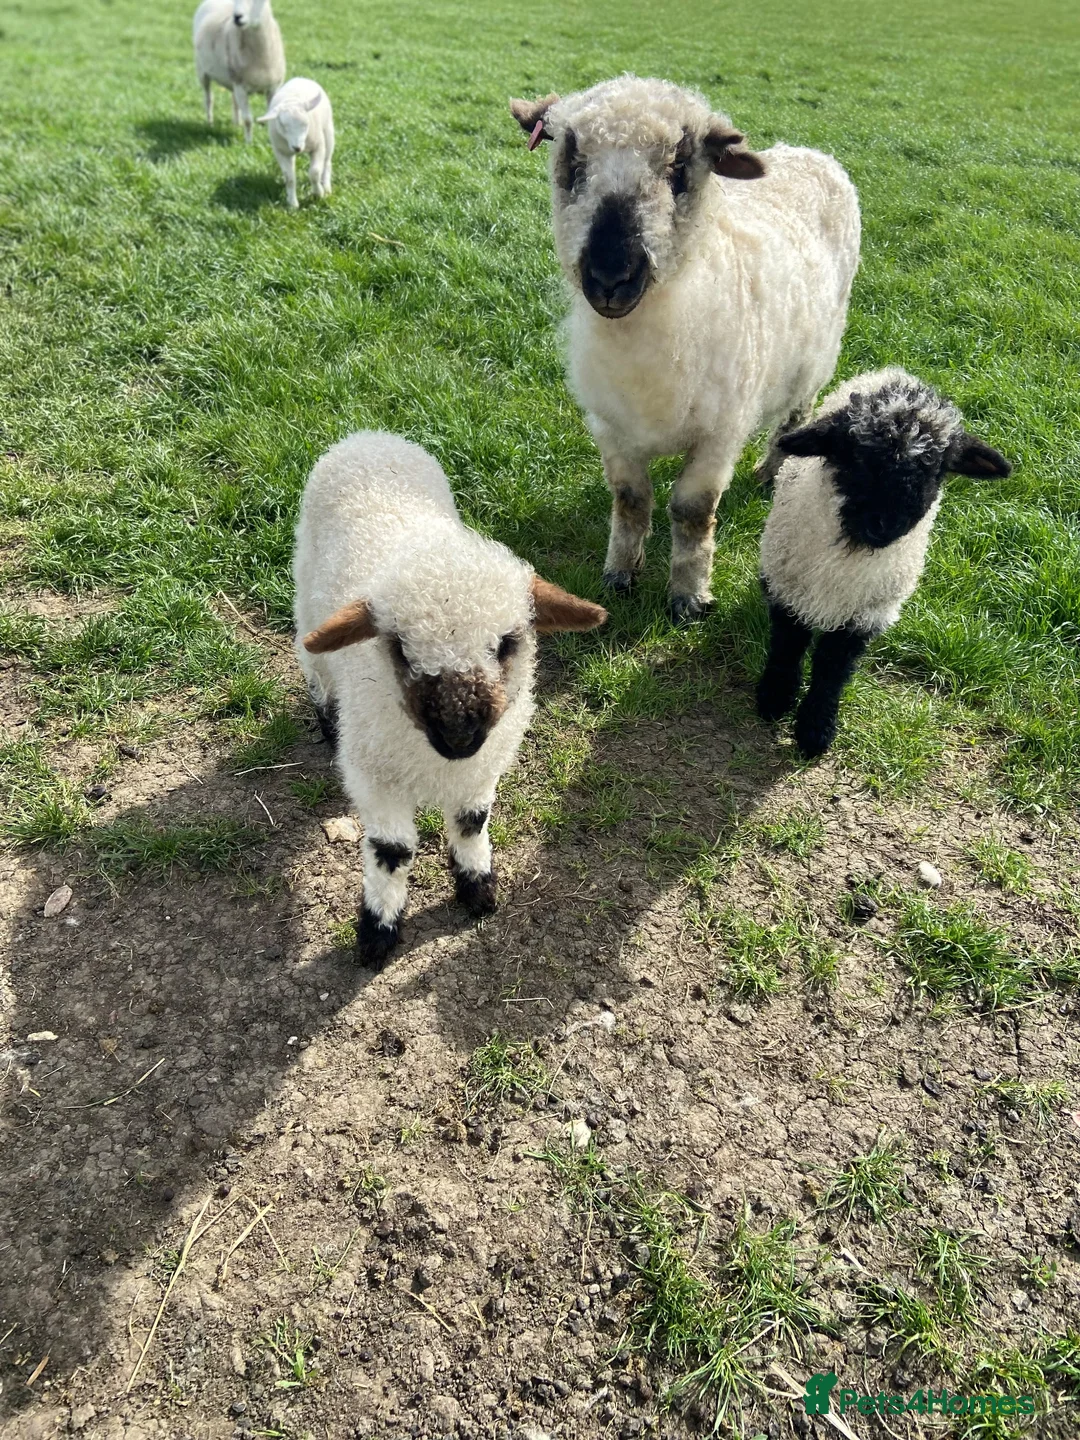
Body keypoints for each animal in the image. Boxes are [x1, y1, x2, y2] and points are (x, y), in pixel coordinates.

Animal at [193, 0, 285, 144]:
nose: (237, 17)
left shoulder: (273, 87)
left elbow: (271, 117)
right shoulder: (241, 87)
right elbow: (248, 119)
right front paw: (248, 143)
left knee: (233, 100)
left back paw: (237, 123)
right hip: (203, 72)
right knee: (208, 99)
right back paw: (210, 123)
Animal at [256, 79, 334, 209]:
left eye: (306, 124)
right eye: (282, 125)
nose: (297, 148)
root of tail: (300, 78)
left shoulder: (318, 146)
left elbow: (314, 172)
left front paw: (318, 194)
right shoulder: (281, 152)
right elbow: (289, 177)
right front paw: (292, 204)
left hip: (328, 132)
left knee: (327, 162)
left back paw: (327, 187)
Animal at [293, 431, 608, 968]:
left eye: (506, 643)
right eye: (399, 647)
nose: (459, 732)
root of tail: (369, 436)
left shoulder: (482, 770)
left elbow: (471, 823)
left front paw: (477, 888)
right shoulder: (376, 777)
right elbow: (393, 851)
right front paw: (378, 930)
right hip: (308, 600)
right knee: (315, 667)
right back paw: (327, 724)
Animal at [509, 76, 861, 622]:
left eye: (679, 170)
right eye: (572, 162)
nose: (610, 276)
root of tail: (810, 152)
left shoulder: (720, 434)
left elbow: (692, 512)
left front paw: (689, 596)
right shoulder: (612, 427)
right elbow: (631, 499)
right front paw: (620, 574)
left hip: (817, 356)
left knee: (795, 414)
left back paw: (770, 472)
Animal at [756, 368, 1011, 757]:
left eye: (936, 468)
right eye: (859, 459)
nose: (886, 525)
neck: (850, 552)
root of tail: (896, 372)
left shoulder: (867, 613)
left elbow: (832, 668)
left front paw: (816, 728)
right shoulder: (788, 587)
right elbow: (788, 645)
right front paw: (774, 697)